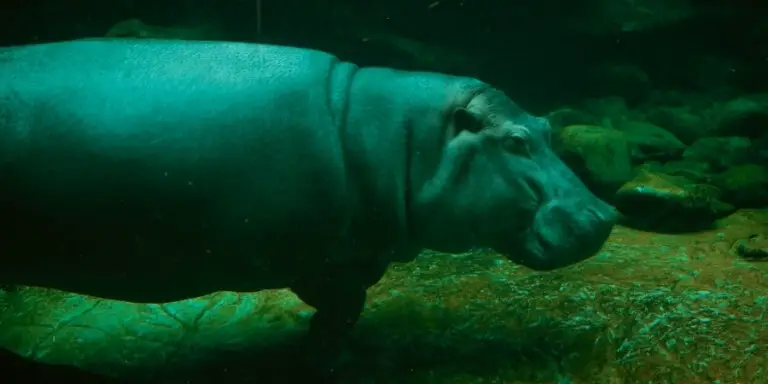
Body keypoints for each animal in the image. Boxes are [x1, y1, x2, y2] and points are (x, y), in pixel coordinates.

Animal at [0, 38, 616, 356]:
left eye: (546, 124)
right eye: (514, 141)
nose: (605, 214)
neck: (400, 136)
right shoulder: (326, 256)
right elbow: (343, 304)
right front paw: (316, 340)